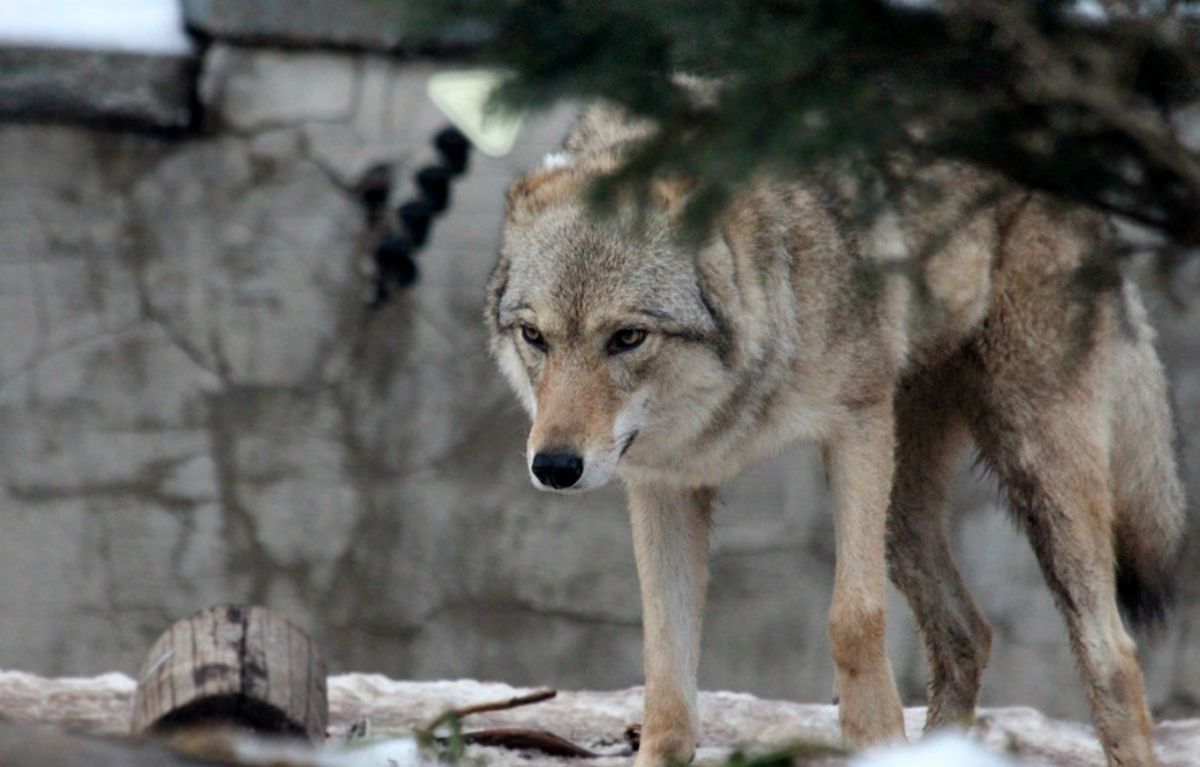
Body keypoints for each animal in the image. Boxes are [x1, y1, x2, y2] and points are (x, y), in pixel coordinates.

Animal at [482, 103, 1185, 767]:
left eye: (627, 337)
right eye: (535, 336)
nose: (554, 466)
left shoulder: (856, 427)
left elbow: (854, 619)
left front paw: (874, 738)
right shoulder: (666, 484)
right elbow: (665, 667)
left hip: (1031, 463)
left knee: (1112, 652)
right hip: (905, 508)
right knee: (968, 634)